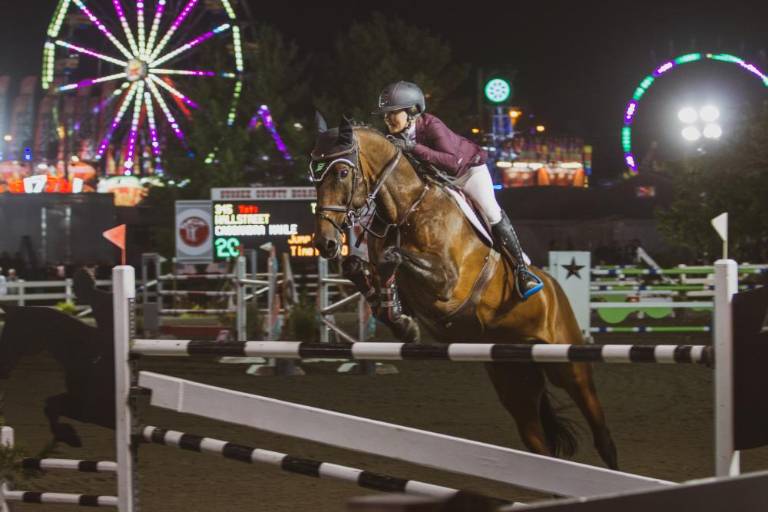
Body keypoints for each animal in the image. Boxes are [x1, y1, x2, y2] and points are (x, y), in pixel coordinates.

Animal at [0, 270, 115, 446]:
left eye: (14, 334)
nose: (1, 368)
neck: (86, 354)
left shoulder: (91, 410)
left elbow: (52, 405)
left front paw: (69, 436)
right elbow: (50, 404)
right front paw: (68, 435)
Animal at [310, 115, 616, 468]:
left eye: (342, 173)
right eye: (314, 174)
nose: (324, 243)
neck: (405, 209)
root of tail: (555, 288)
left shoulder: (449, 284)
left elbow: (394, 257)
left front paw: (400, 317)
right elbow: (359, 268)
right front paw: (398, 319)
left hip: (569, 366)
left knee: (601, 433)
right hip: (515, 381)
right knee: (536, 440)